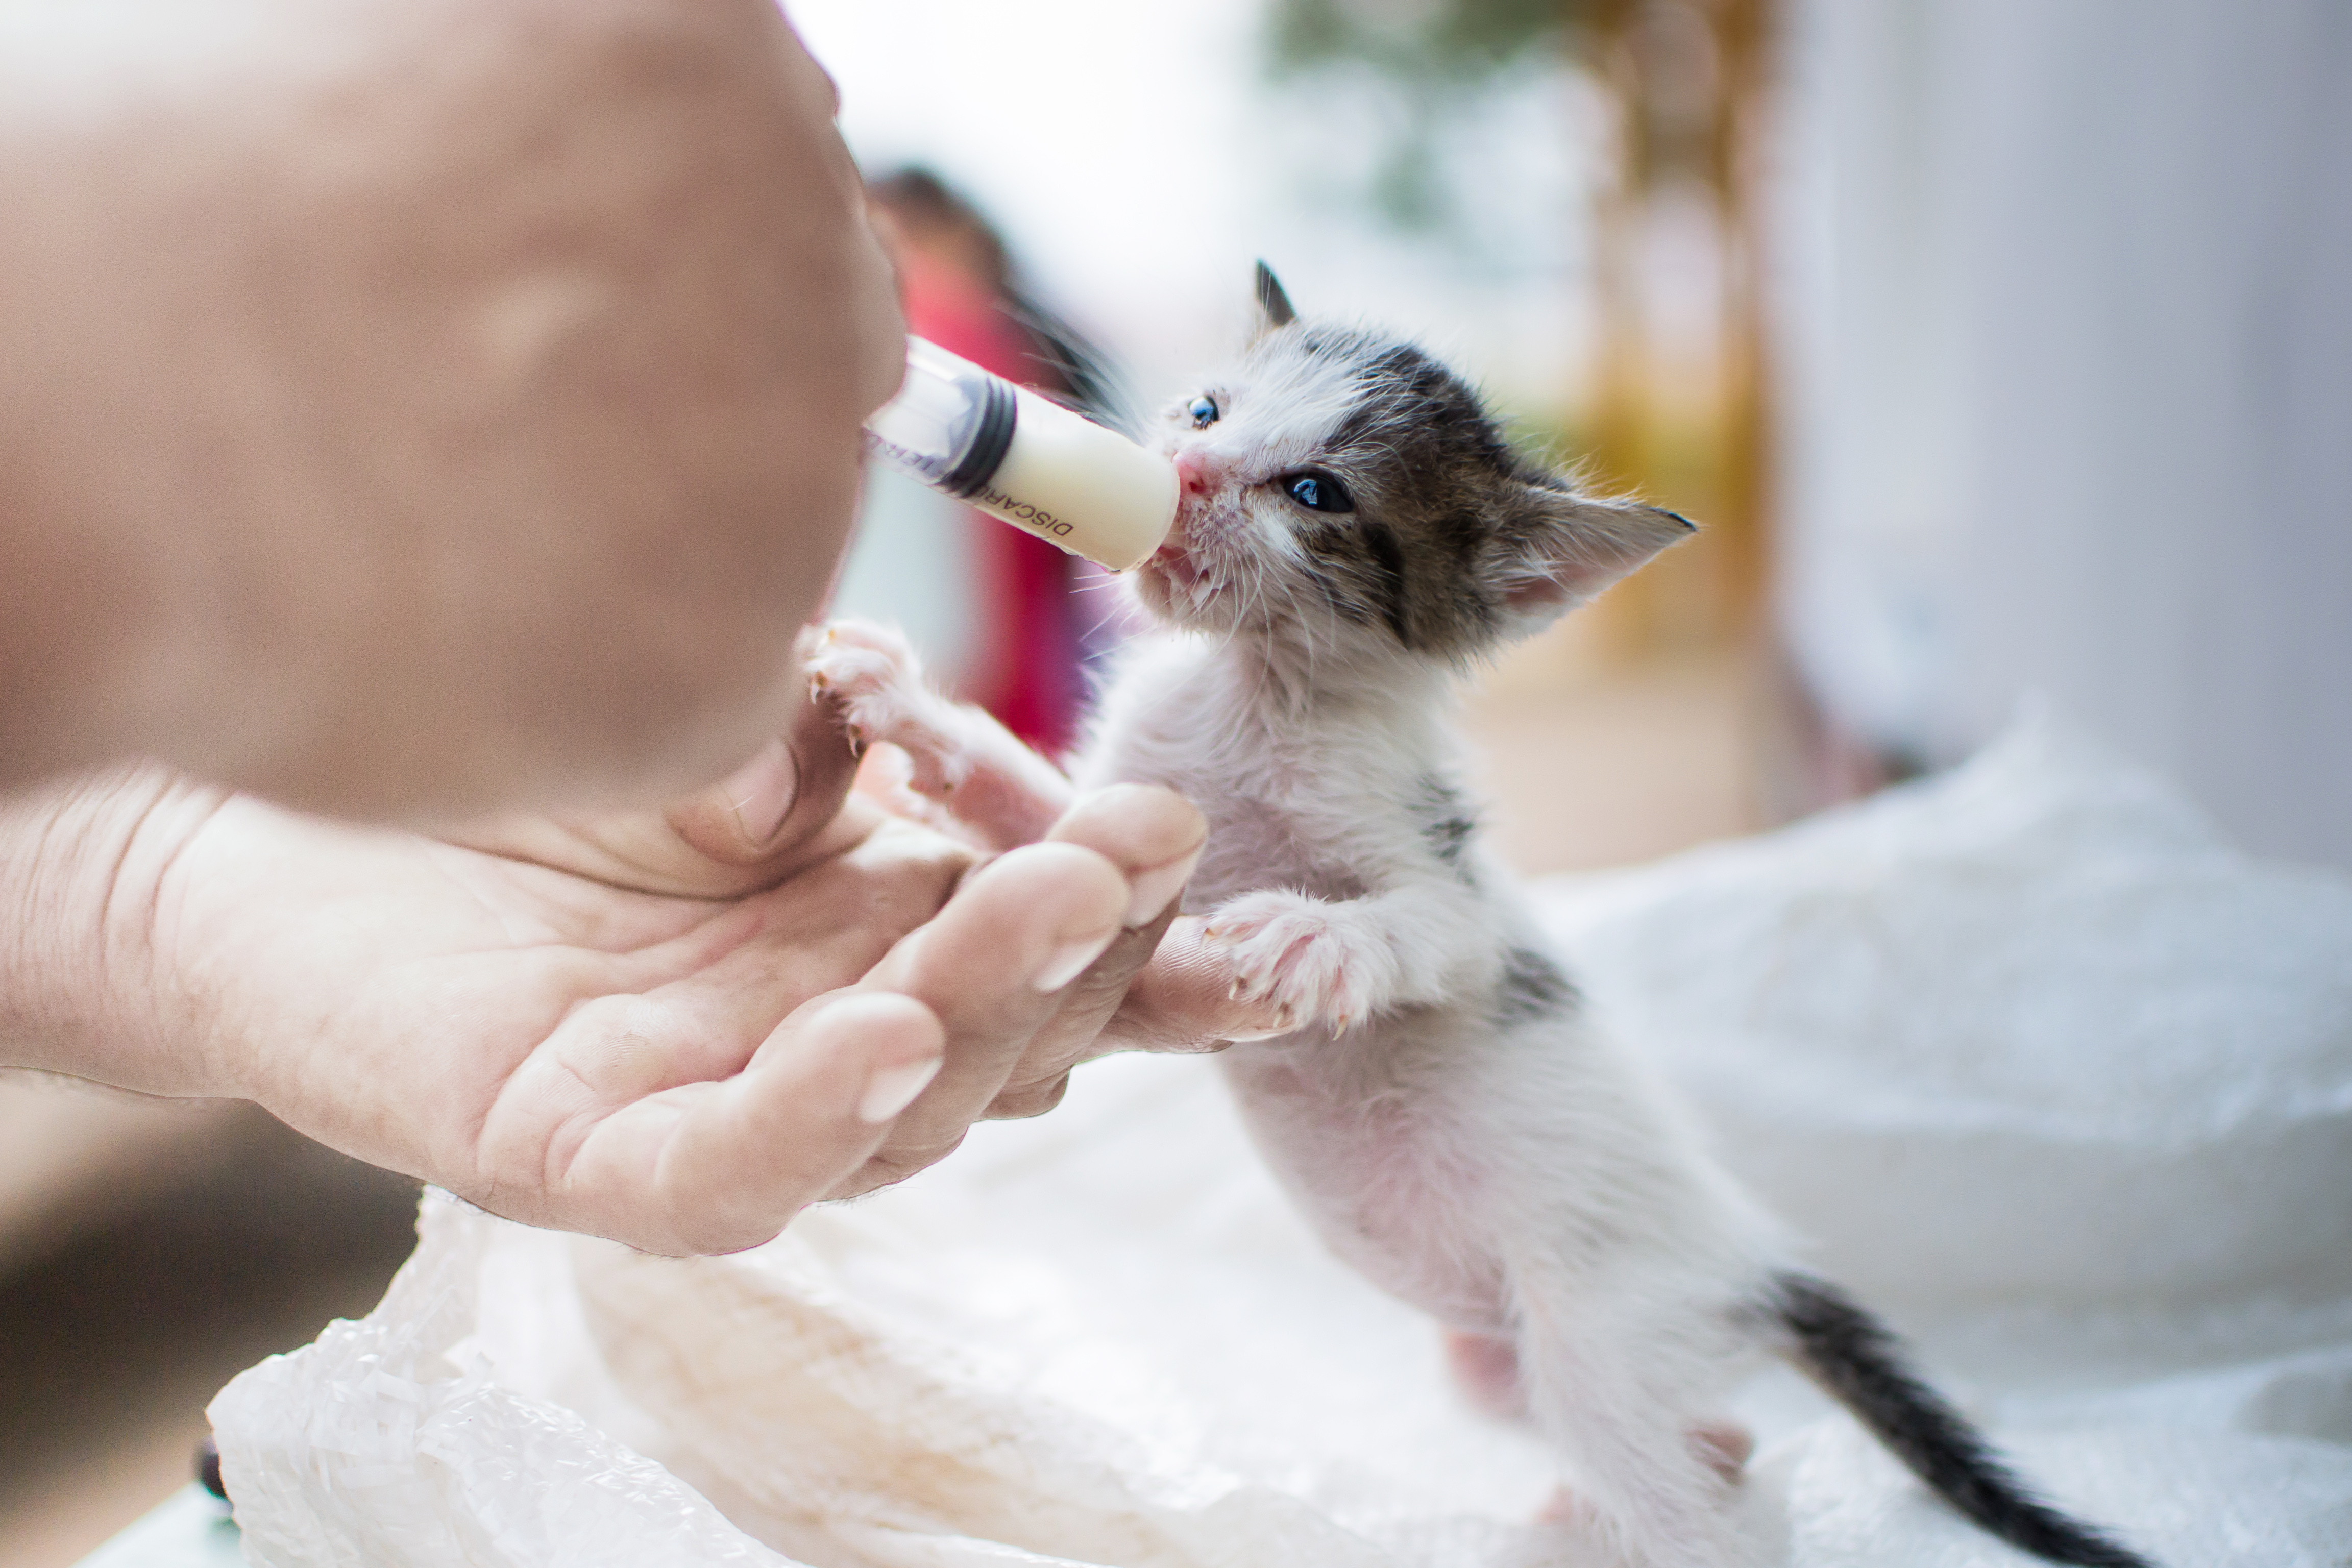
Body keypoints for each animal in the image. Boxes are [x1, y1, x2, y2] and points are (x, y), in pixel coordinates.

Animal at [814, 270, 2154, 1568]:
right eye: (1205, 410)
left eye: (1315, 491)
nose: (1185, 472)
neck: (1250, 693)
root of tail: (1750, 1270)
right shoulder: (1122, 817)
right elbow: (1025, 816)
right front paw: (910, 711)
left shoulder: (1443, 881)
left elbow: (1430, 933)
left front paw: (1323, 938)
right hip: (1498, 1364)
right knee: (1688, 1436)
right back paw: (1652, 1476)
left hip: (1598, 1337)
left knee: (1683, 1508)